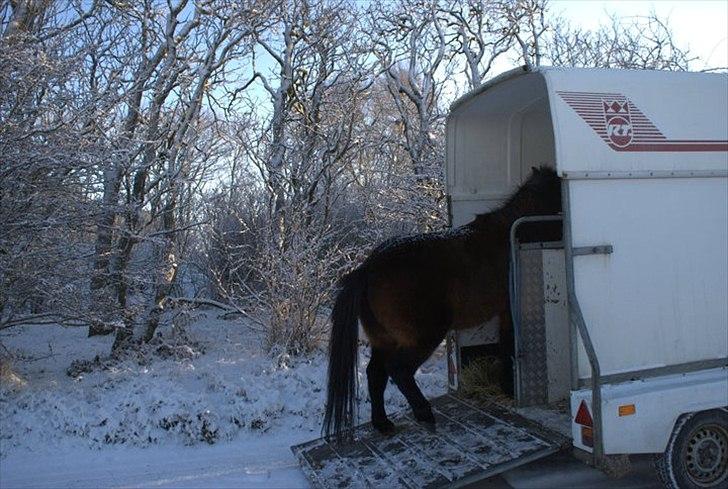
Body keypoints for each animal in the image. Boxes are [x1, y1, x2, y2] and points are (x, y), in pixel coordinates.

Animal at [324, 167, 564, 438]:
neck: (510, 234)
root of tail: (367, 268)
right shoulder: (510, 309)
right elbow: (510, 344)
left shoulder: (503, 312)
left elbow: (505, 344)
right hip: (425, 336)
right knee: (399, 370)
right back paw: (424, 413)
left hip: (383, 340)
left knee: (376, 374)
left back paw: (383, 423)